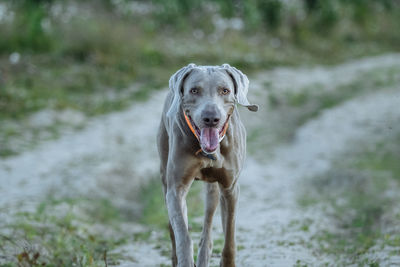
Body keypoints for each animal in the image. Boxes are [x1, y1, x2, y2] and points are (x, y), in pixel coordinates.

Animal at [155, 63, 256, 266]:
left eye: (225, 90)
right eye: (194, 90)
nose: (211, 118)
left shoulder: (230, 188)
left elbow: (229, 238)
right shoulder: (176, 189)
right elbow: (183, 235)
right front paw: (185, 260)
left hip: (213, 190)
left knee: (208, 225)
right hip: (164, 175)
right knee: (173, 228)